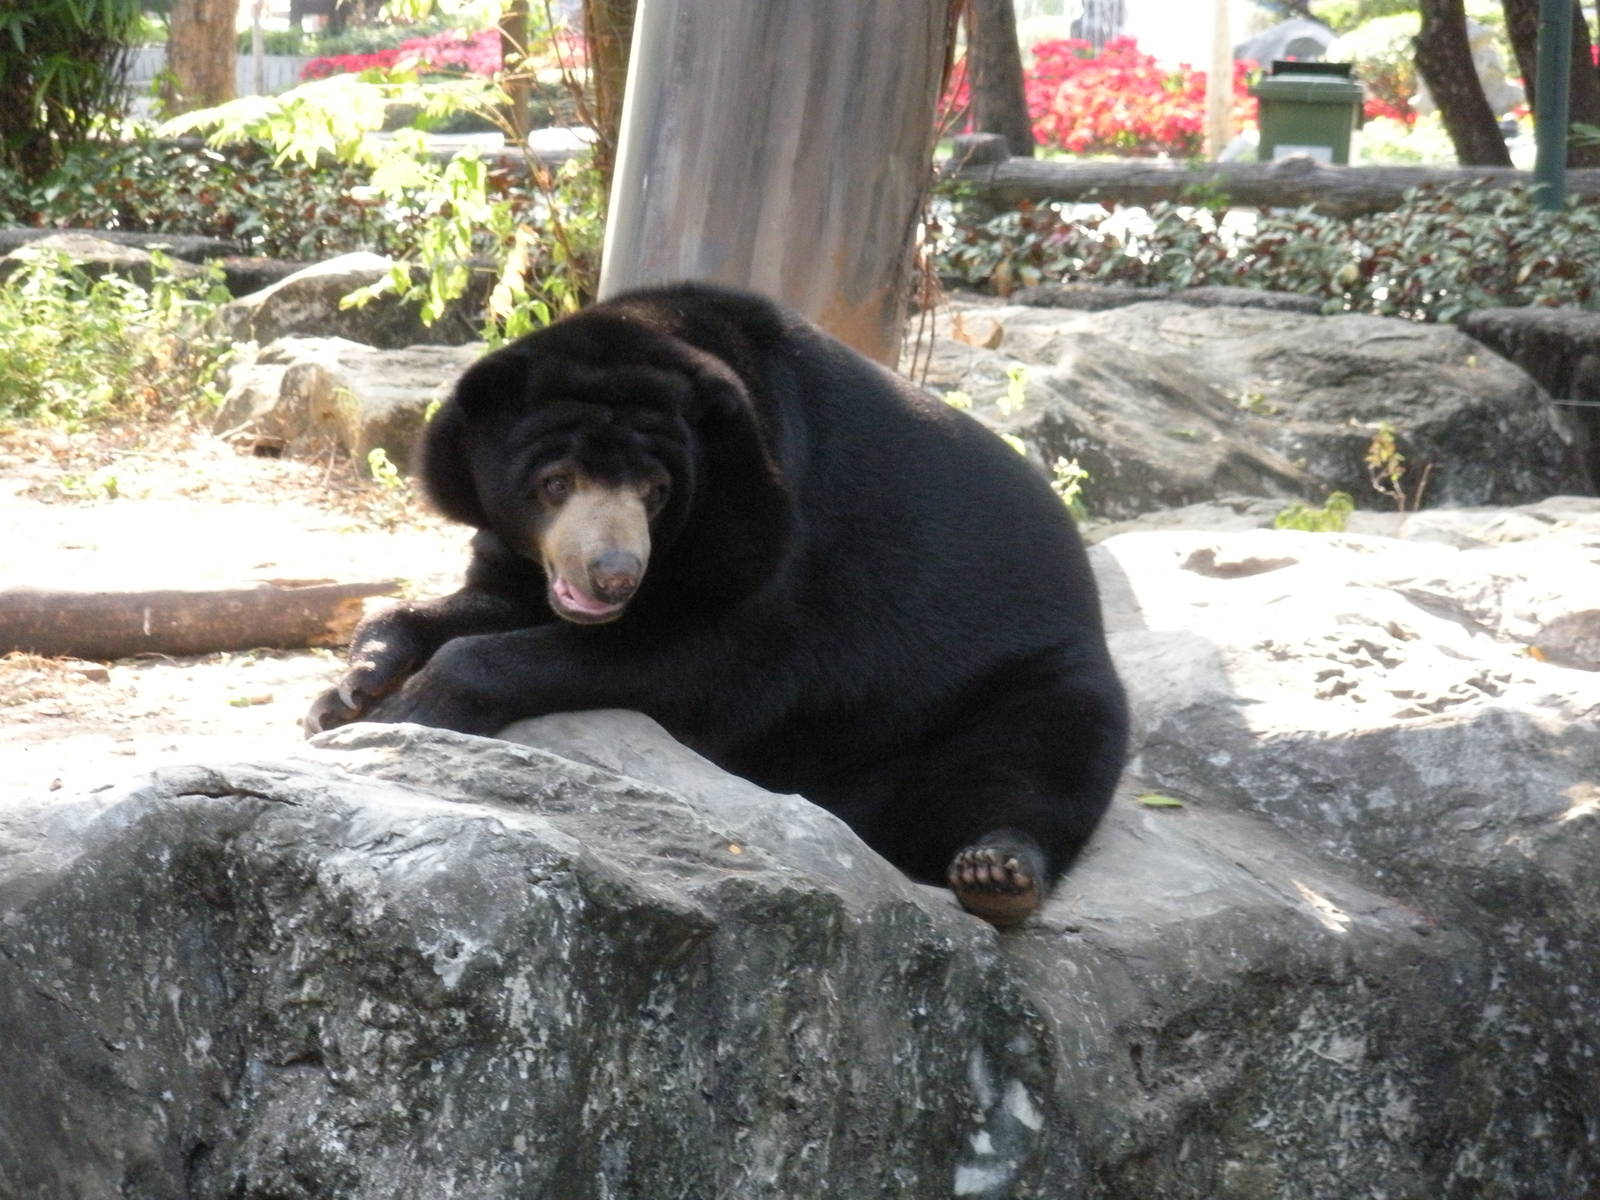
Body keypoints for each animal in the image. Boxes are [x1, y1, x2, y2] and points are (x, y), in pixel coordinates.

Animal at [306, 283, 1128, 928]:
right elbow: (477, 601)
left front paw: (419, 705)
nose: (613, 576)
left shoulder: (777, 549)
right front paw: (350, 692)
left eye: (655, 489)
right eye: (555, 482)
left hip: (1021, 676)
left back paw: (997, 871)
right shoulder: (527, 556)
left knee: (1041, 757)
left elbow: (704, 659)